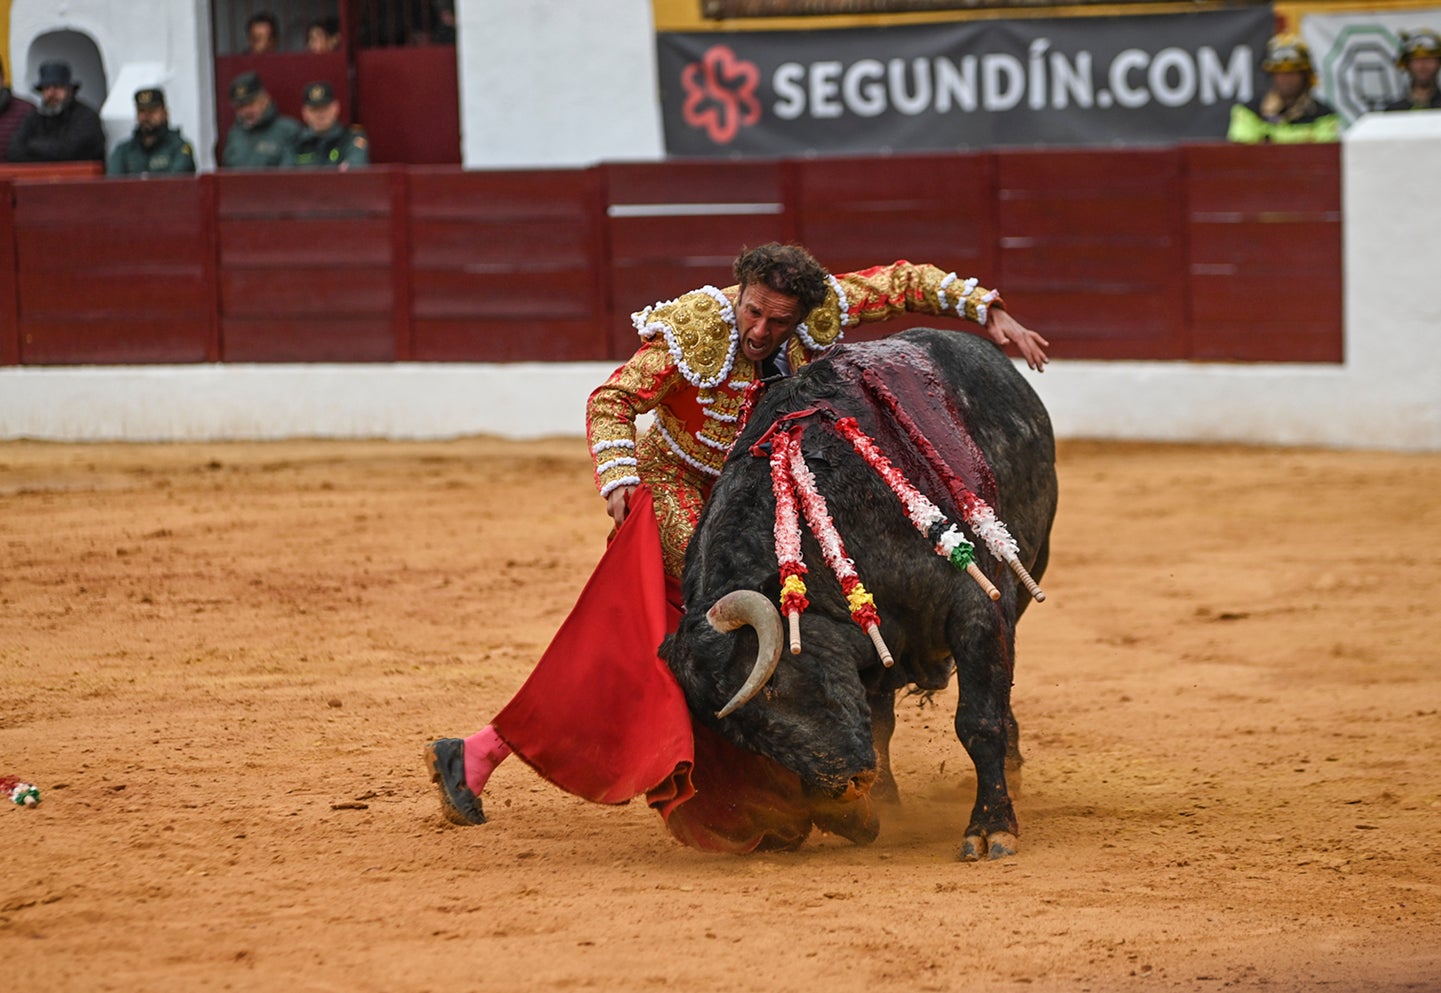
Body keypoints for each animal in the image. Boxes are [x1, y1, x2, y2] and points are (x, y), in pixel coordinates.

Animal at [659, 327, 1054, 858]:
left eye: (773, 684)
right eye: (736, 733)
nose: (843, 792)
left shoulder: (978, 606)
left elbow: (978, 720)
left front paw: (991, 827)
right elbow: (879, 721)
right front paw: (883, 804)